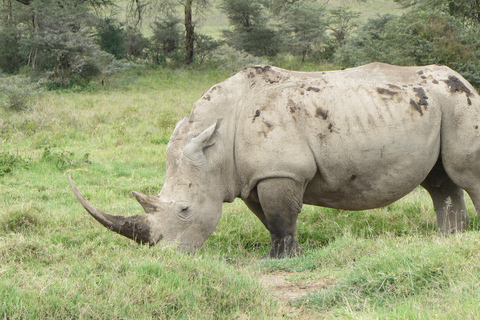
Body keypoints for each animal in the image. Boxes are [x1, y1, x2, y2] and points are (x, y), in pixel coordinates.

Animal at [69, 62, 480, 258]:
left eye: (185, 210)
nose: (165, 256)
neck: (216, 144)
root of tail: (462, 78)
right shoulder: (253, 176)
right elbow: (270, 219)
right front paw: (283, 254)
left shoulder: (281, 171)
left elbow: (281, 217)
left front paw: (278, 261)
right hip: (440, 104)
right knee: (439, 182)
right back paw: (447, 240)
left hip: (460, 102)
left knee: (465, 175)